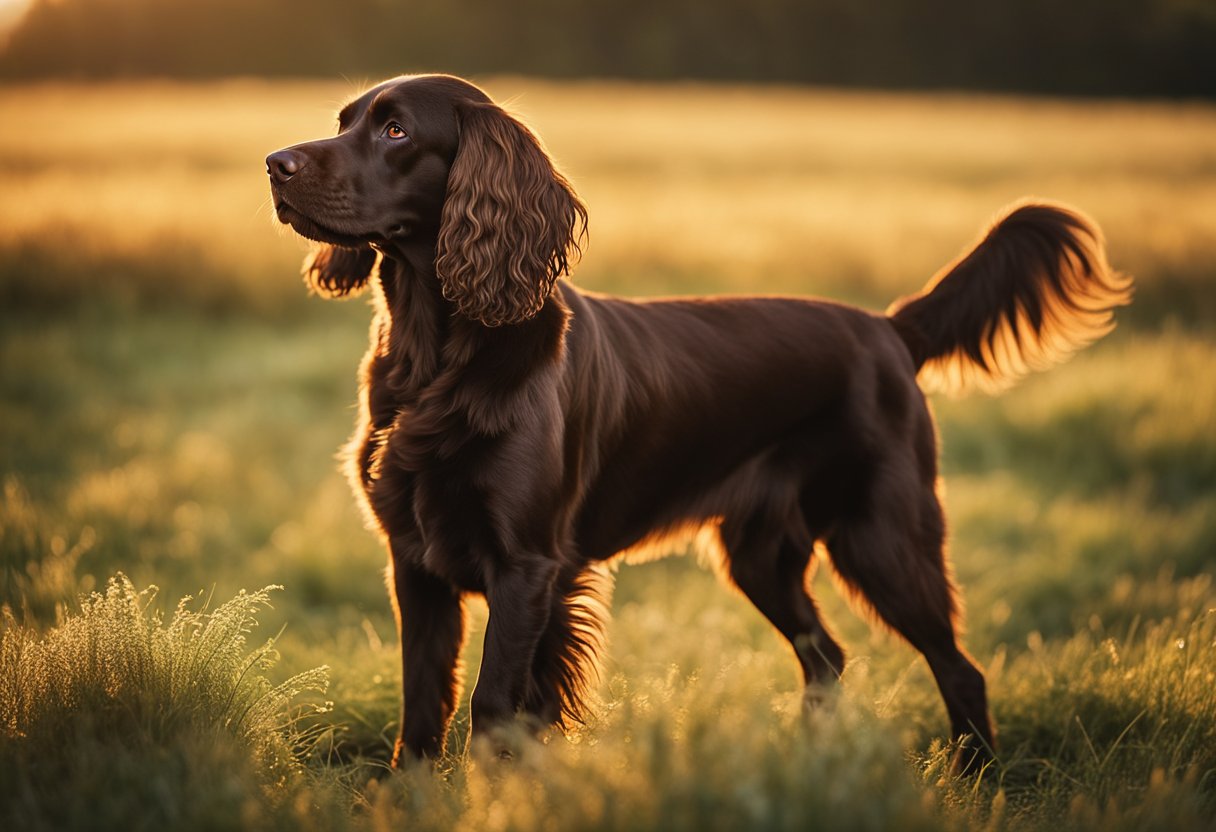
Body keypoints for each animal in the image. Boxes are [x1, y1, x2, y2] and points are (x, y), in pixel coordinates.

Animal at [263, 74, 1128, 768]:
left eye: (396, 130)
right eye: (345, 119)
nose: (275, 163)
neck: (437, 358)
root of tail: (889, 329)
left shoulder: (525, 566)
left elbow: (493, 708)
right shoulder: (415, 563)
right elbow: (421, 710)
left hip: (882, 535)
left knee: (958, 666)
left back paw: (977, 776)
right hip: (760, 553)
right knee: (827, 657)